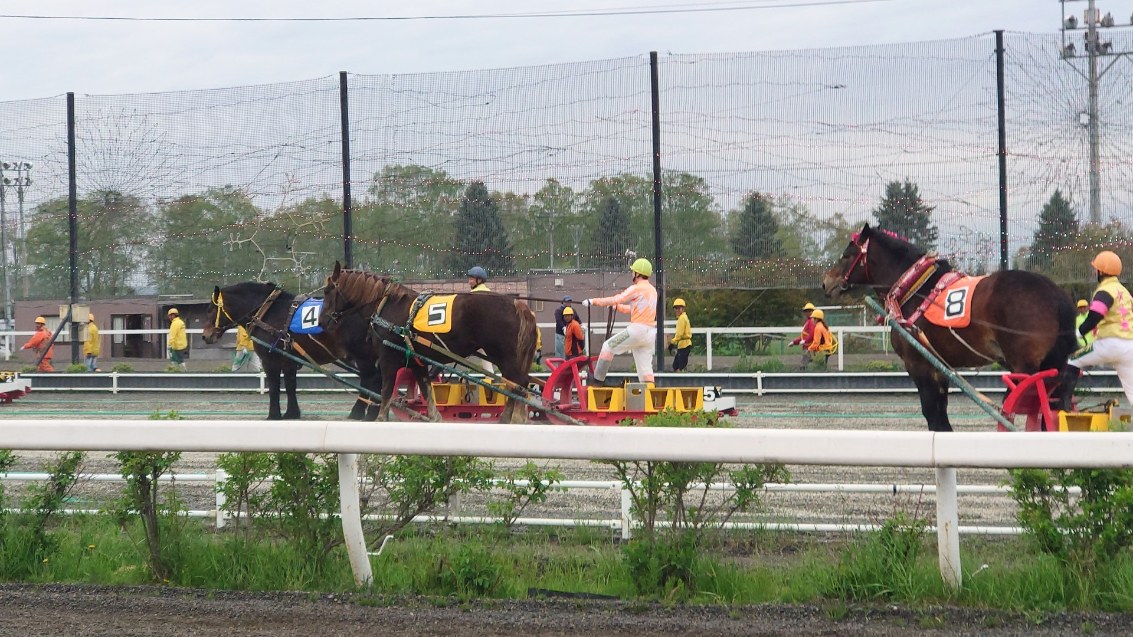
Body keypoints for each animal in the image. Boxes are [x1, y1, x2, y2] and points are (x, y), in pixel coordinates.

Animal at [201, 279, 382, 419]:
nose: (205, 336)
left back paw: (361, 412)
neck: (269, 311)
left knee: (370, 379)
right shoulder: (288, 359)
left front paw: (273, 415)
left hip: (362, 355)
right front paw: (292, 413)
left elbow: (274, 386)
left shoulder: (270, 359)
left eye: (210, 309)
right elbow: (290, 385)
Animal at [319, 260, 539, 423]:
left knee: (518, 384)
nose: (322, 321)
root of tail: (517, 304)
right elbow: (426, 388)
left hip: (503, 355)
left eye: (327, 291)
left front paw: (381, 417)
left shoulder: (388, 356)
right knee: (514, 384)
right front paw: (434, 416)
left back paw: (515, 418)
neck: (388, 304)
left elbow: (387, 387)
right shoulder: (417, 359)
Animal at [820, 223, 1074, 430]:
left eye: (846, 255)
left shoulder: (918, 364)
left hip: (1025, 366)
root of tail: (1055, 294)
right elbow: (940, 411)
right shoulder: (939, 366)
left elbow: (932, 413)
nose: (826, 282)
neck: (916, 289)